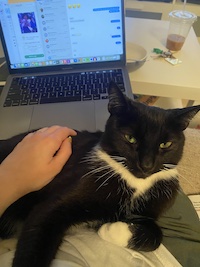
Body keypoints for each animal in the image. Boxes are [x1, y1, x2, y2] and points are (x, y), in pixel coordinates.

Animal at [0, 82, 200, 267]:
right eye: (130, 138)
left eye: (165, 144)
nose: (146, 164)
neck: (136, 183)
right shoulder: (53, 206)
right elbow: (41, 223)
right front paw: (110, 229)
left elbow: (157, 235)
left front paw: (112, 230)